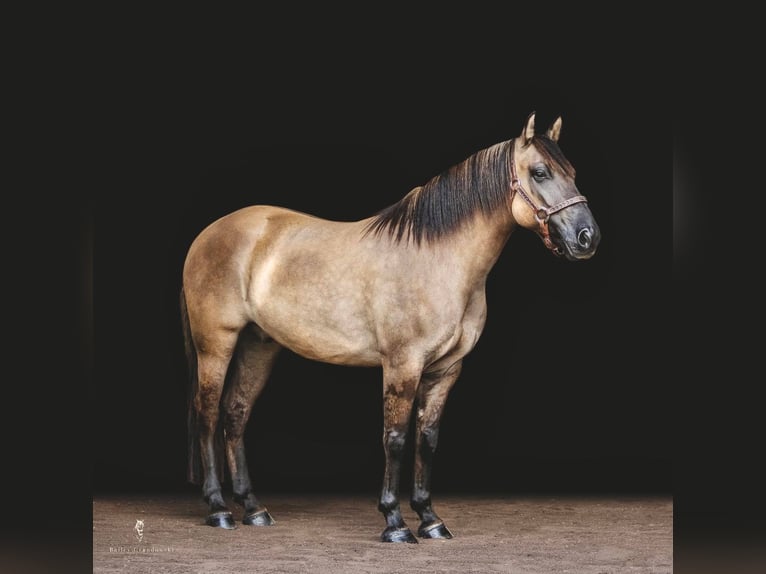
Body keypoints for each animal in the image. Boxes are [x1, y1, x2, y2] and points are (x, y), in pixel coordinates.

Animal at [182, 111, 608, 544]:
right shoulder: (403, 365)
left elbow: (427, 439)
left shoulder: (446, 370)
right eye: (540, 172)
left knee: (235, 413)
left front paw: (430, 519)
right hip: (215, 344)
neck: (439, 259)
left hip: (259, 344)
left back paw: (253, 509)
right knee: (208, 414)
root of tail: (208, 234)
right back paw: (218, 509)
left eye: (572, 172)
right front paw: (395, 523)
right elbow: (396, 437)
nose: (586, 238)